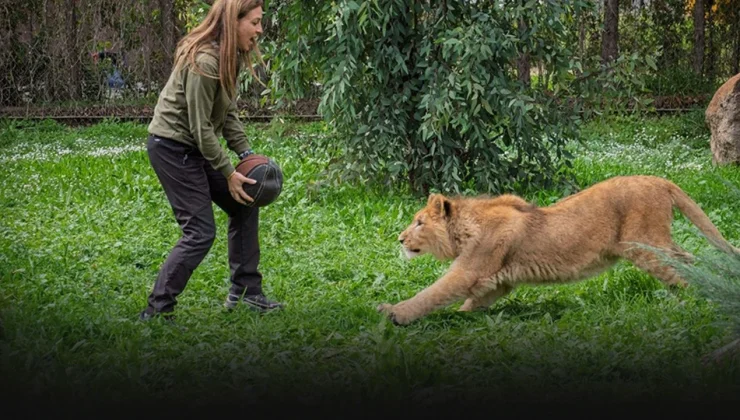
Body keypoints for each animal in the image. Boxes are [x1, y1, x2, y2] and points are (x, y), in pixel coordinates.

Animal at [378, 176, 736, 326]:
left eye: (419, 222)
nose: (399, 238)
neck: (466, 228)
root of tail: (660, 180)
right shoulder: (498, 282)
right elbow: (472, 303)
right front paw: (462, 316)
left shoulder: (470, 271)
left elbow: (432, 293)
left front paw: (394, 313)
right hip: (656, 243)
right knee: (688, 259)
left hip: (644, 246)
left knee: (681, 274)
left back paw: (693, 303)